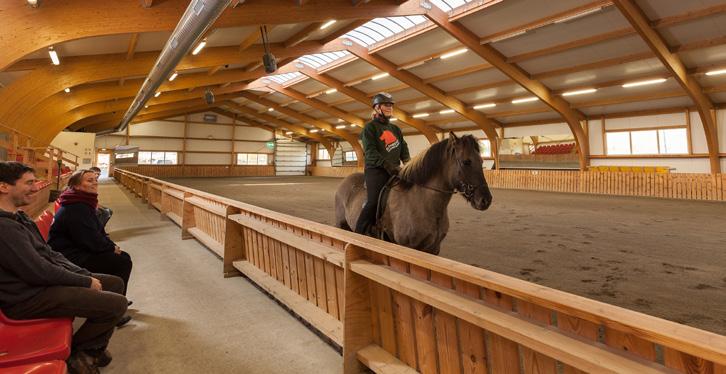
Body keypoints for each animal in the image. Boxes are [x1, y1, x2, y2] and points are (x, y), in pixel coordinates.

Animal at [336, 132, 494, 254]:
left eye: (481, 161)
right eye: (466, 162)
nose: (485, 200)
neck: (422, 202)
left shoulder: (433, 249)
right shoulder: (407, 247)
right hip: (341, 225)